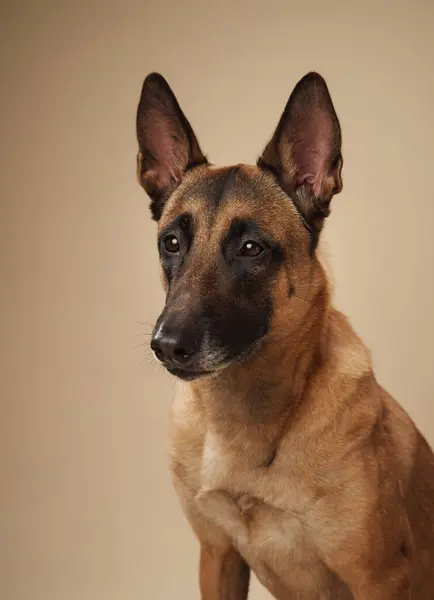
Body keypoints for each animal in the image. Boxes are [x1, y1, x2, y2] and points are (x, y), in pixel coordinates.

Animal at [135, 71, 434, 600]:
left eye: (252, 248)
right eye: (171, 242)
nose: (167, 345)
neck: (247, 419)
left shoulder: (379, 578)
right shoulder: (218, 557)